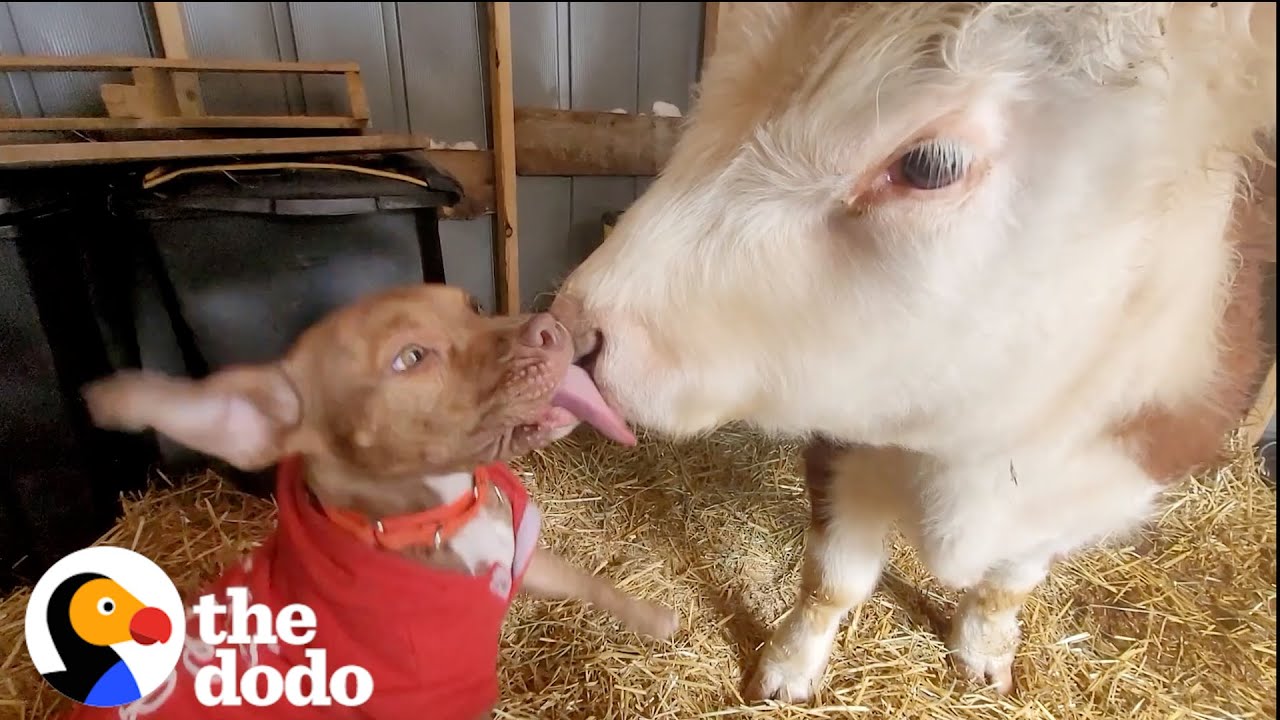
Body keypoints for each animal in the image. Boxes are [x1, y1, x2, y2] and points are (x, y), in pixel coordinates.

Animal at [67, 283, 680, 717]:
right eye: (411, 358)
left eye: (473, 305)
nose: (553, 326)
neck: (441, 514)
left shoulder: (517, 558)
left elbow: (587, 580)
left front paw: (653, 617)